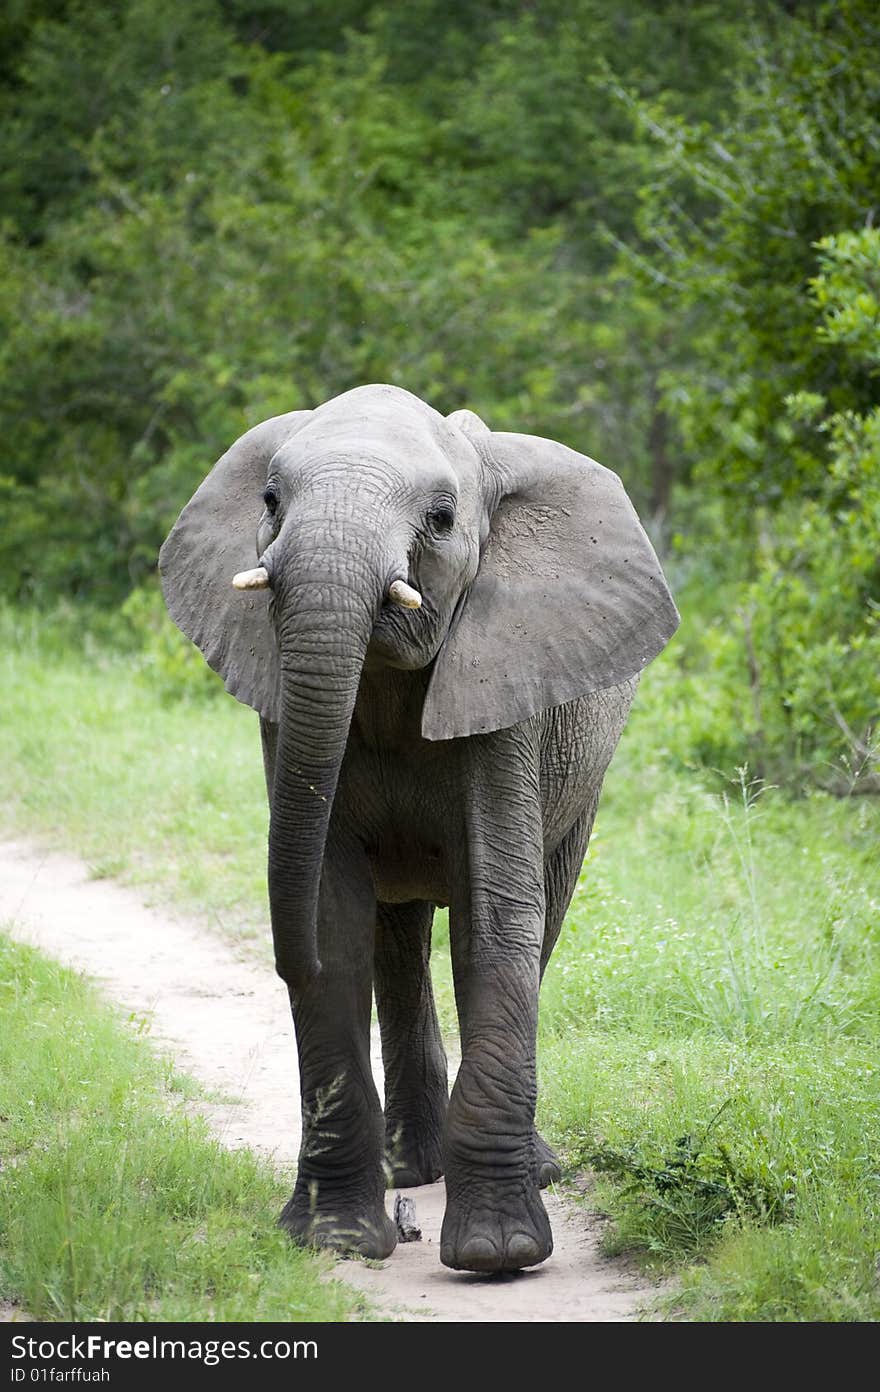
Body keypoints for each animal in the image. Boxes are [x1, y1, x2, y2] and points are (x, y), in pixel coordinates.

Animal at [160, 381, 679, 1275]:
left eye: (440, 518)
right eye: (270, 502)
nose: (282, 961)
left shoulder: (510, 693)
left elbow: (495, 921)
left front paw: (498, 1257)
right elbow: (332, 921)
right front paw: (335, 1242)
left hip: (584, 771)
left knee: (540, 914)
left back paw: (518, 1167)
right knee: (396, 943)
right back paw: (410, 1169)